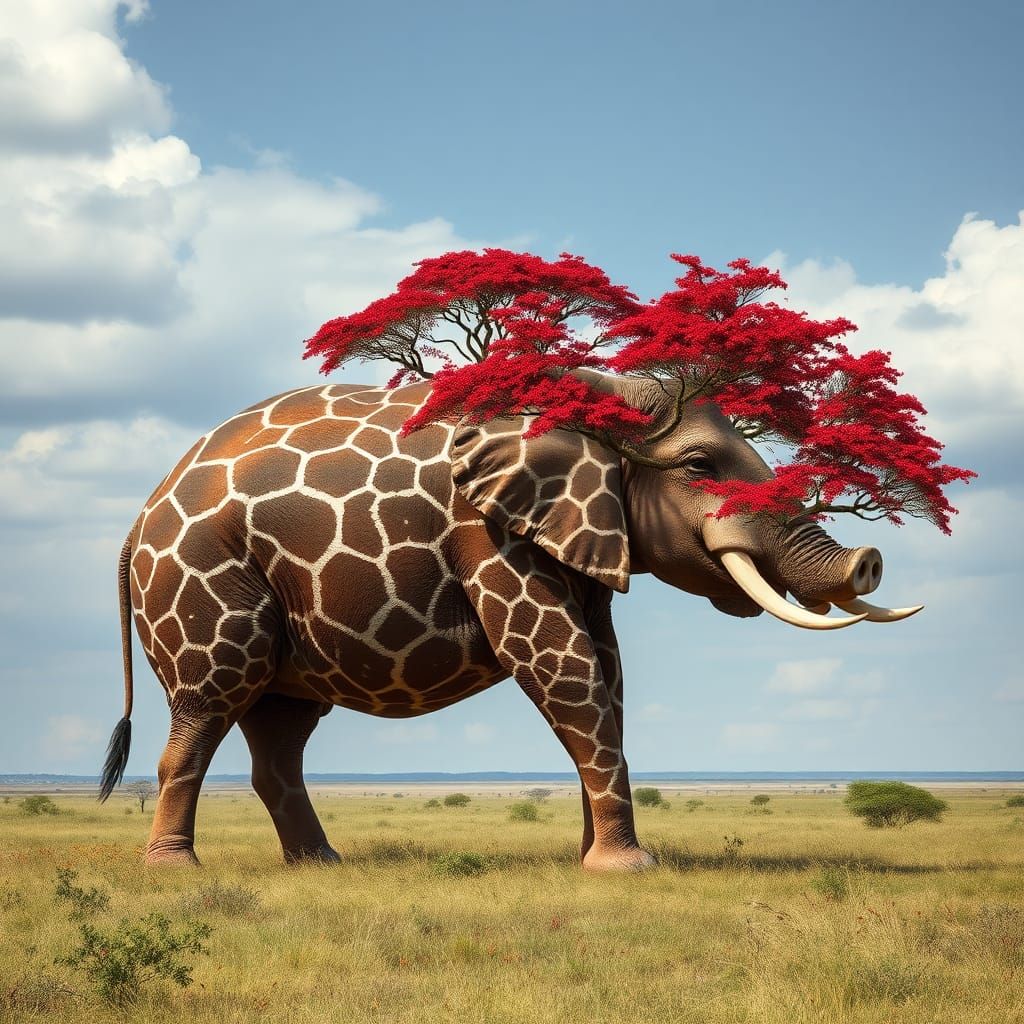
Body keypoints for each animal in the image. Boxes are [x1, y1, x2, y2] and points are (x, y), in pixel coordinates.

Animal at [101, 373, 917, 870]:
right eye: (698, 467)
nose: (872, 559)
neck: (591, 391)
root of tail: (137, 521)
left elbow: (607, 677)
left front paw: (594, 860)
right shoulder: (485, 530)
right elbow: (559, 663)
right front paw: (627, 868)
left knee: (280, 733)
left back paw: (319, 867)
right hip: (203, 589)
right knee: (206, 709)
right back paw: (176, 869)